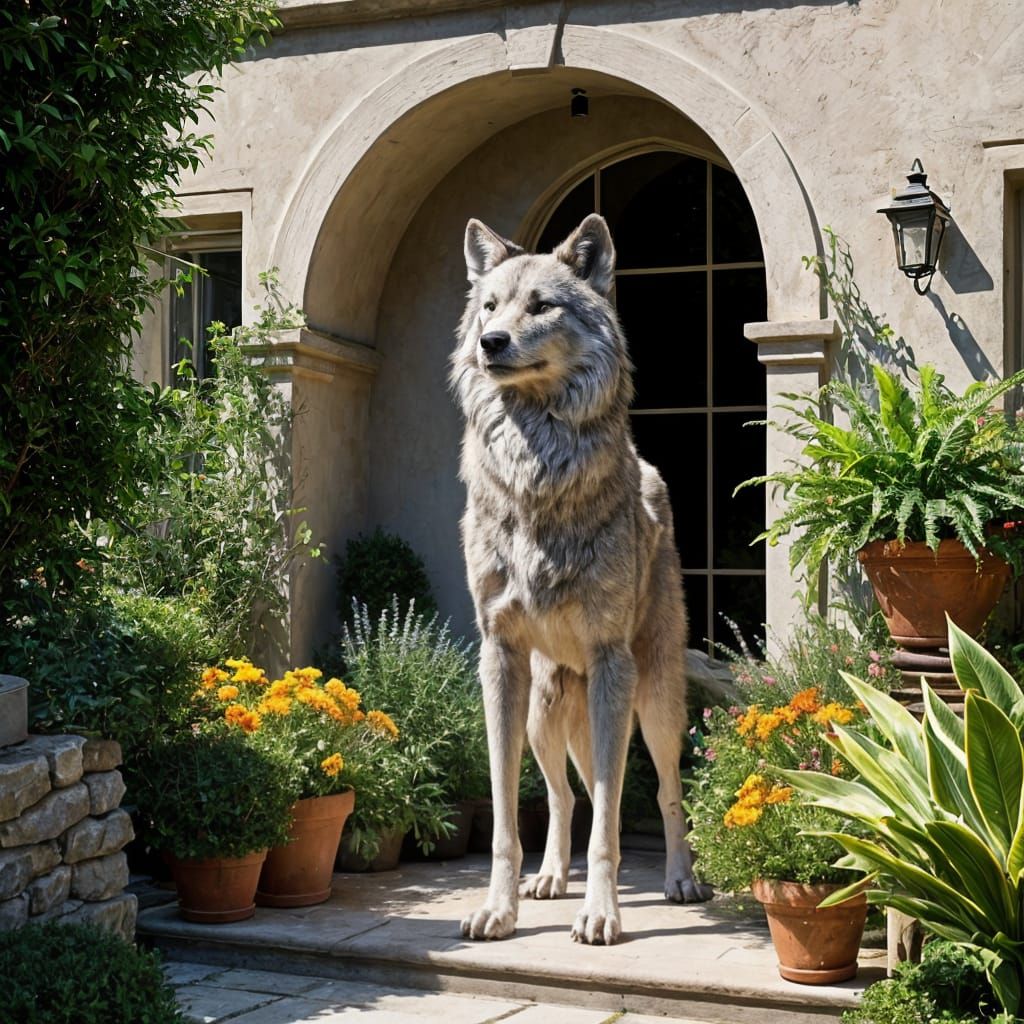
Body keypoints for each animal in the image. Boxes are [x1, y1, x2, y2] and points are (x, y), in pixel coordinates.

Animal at [450, 213, 712, 946]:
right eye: (490, 306)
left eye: (541, 306)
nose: (490, 342)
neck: (537, 465)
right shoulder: (499, 659)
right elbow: (507, 816)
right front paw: (499, 909)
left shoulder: (610, 660)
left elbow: (618, 821)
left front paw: (602, 914)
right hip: (546, 714)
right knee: (571, 795)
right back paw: (549, 878)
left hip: (647, 702)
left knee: (658, 793)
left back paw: (678, 881)